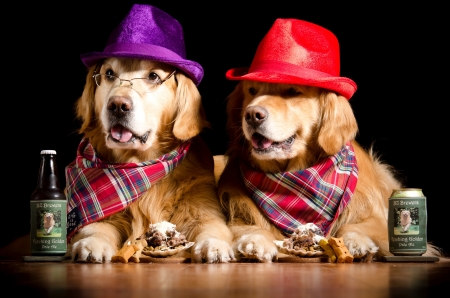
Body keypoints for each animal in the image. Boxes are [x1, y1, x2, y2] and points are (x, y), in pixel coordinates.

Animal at [66, 4, 236, 264]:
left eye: (153, 76)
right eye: (109, 74)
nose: (118, 105)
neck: (140, 163)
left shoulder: (204, 208)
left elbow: (212, 228)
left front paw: (214, 246)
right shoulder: (101, 218)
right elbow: (94, 228)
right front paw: (90, 244)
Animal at [215, 17, 442, 262]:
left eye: (292, 91)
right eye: (252, 90)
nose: (252, 115)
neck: (295, 174)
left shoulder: (379, 220)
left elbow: (361, 226)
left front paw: (356, 241)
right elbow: (245, 227)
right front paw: (255, 240)